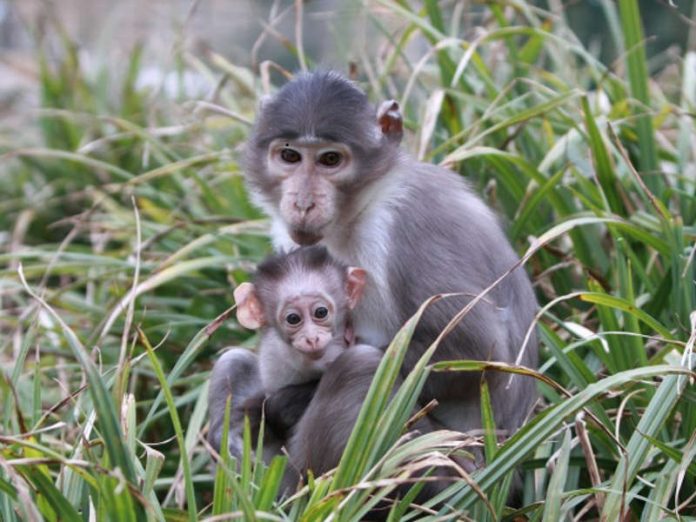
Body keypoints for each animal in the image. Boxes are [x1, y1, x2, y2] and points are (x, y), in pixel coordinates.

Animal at [242, 71, 536, 452]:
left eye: (330, 160)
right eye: (289, 156)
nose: (303, 203)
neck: (359, 211)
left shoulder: (409, 224)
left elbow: (478, 350)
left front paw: (285, 402)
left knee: (360, 366)